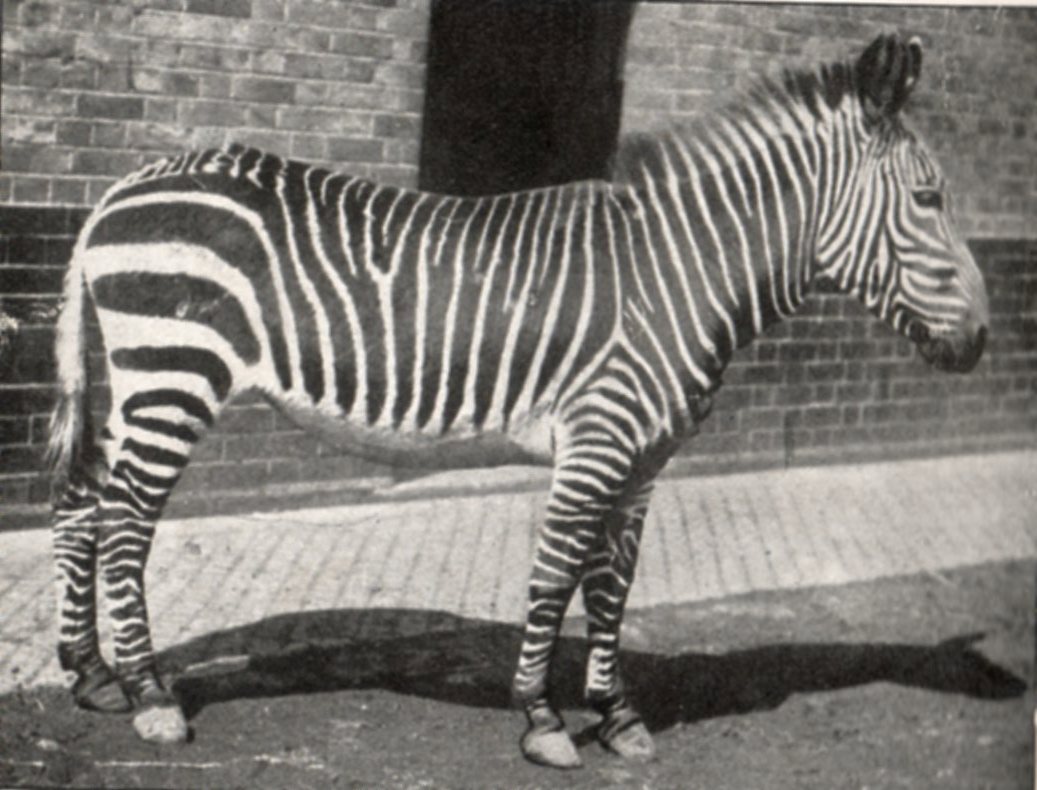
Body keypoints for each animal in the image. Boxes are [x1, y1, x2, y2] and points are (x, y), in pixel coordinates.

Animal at [45, 34, 988, 768]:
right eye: (929, 198)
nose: (980, 341)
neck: (678, 274)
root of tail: (120, 189)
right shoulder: (597, 438)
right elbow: (554, 574)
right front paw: (541, 719)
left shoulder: (643, 459)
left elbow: (612, 588)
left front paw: (617, 716)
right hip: (172, 373)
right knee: (124, 523)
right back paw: (149, 696)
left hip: (127, 378)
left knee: (79, 507)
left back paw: (90, 674)